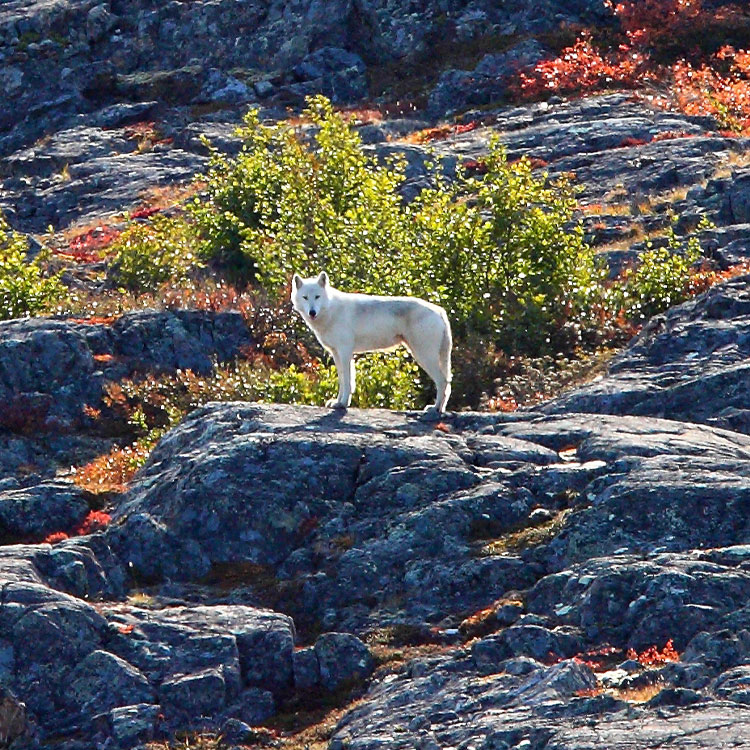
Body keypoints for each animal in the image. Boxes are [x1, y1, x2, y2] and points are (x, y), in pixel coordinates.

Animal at [290, 272, 452, 414]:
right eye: (305, 297)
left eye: (317, 297)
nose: (312, 312)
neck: (330, 310)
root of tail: (440, 311)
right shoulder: (336, 353)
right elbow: (342, 380)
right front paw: (337, 402)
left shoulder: (345, 352)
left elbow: (348, 382)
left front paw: (343, 404)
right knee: (446, 383)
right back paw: (440, 409)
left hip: (423, 357)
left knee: (443, 381)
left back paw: (434, 408)